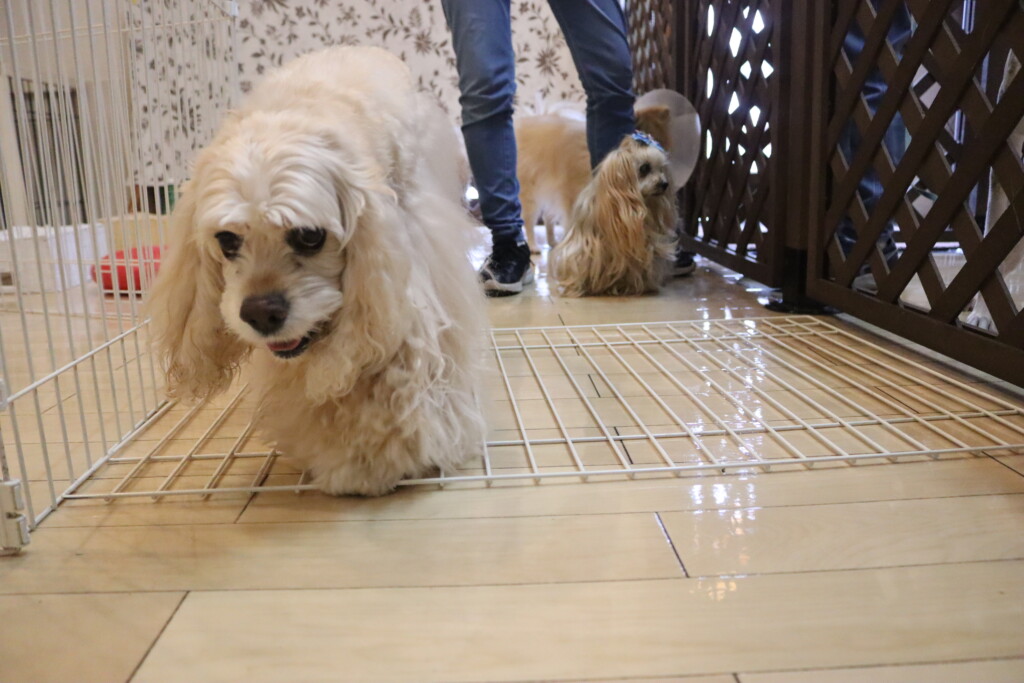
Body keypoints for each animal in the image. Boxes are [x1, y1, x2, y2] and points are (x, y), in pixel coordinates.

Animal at [146, 47, 487, 496]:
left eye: (309, 236)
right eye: (227, 240)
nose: (260, 314)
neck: (295, 112)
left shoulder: (401, 281)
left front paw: (375, 462)